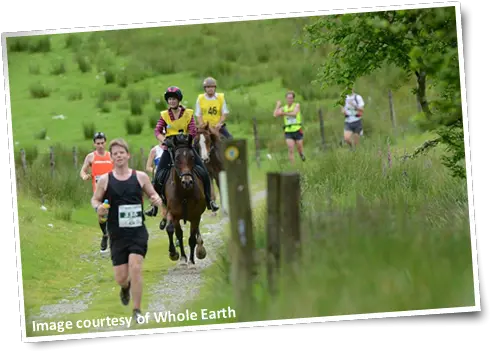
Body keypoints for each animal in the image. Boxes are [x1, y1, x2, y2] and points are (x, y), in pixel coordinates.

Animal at [162, 133, 206, 266]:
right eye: (176, 158)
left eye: (192, 157)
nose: (187, 182)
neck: (184, 194)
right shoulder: (174, 215)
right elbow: (176, 233)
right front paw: (178, 256)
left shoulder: (195, 216)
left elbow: (191, 238)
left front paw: (191, 261)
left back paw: (200, 249)